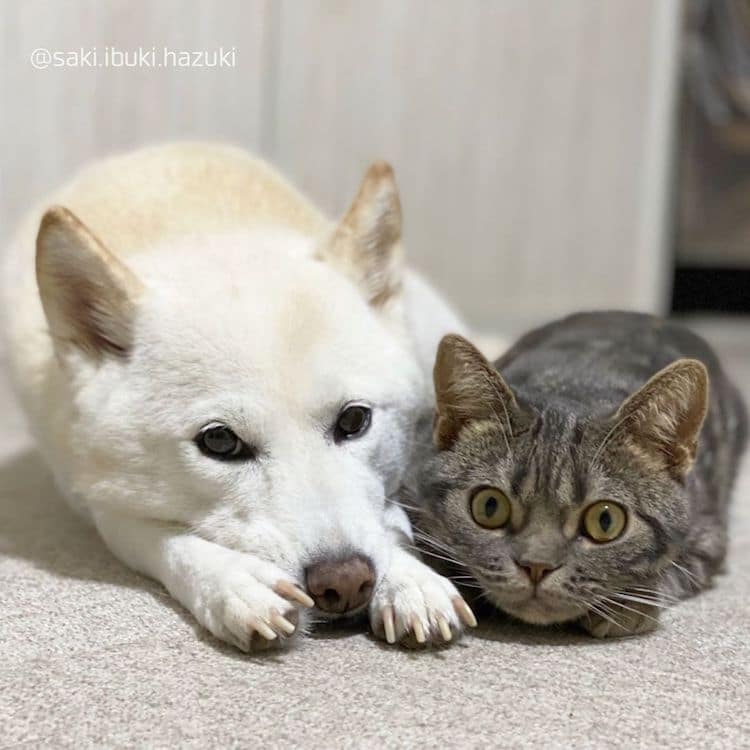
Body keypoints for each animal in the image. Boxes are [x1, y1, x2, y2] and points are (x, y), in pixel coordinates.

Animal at [2, 142, 476, 652]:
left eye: (353, 421)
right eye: (220, 442)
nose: (346, 582)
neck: (206, 228)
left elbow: (383, 517)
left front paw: (409, 577)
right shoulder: (94, 493)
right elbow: (163, 537)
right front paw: (232, 581)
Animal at [414, 314, 748, 636]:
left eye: (605, 521)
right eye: (490, 506)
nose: (537, 566)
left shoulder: (708, 538)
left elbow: (676, 570)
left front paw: (628, 605)